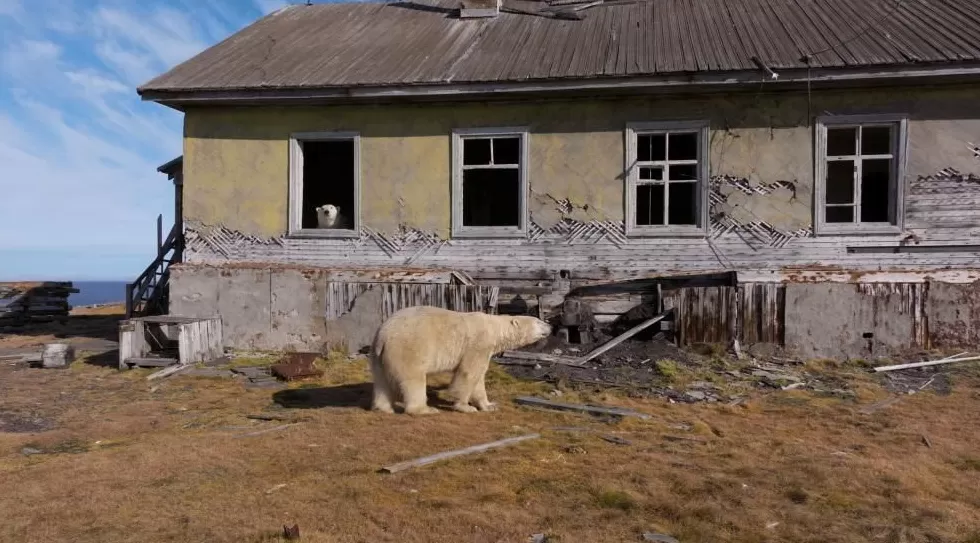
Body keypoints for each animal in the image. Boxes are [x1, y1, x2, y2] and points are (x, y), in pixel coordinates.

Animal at [369, 305, 552, 415]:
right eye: (538, 322)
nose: (550, 326)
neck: (495, 328)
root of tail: (383, 336)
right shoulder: (479, 344)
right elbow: (469, 374)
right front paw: (466, 407)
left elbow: (478, 379)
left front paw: (490, 405)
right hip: (408, 348)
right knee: (413, 380)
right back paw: (425, 409)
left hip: (379, 356)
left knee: (381, 381)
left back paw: (384, 408)